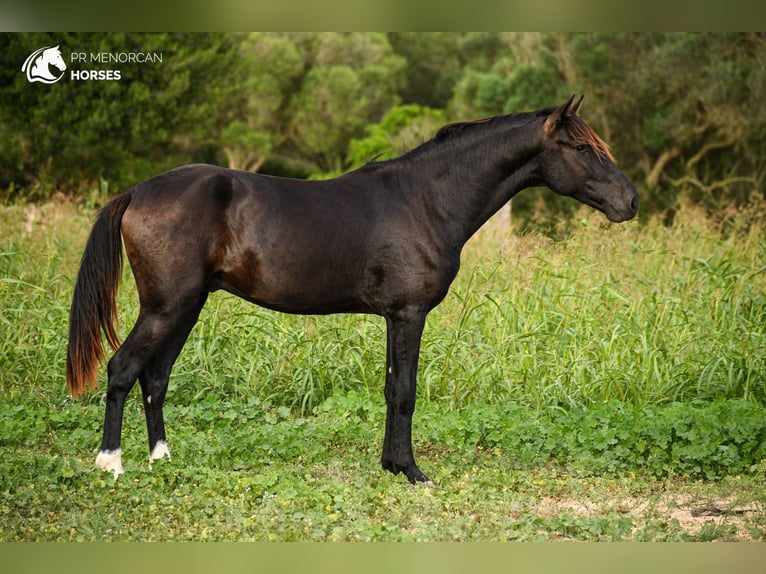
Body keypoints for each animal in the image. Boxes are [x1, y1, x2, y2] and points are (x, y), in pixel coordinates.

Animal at [67, 95, 640, 486]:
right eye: (581, 147)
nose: (630, 201)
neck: (427, 199)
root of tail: (138, 191)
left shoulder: (394, 316)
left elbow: (390, 389)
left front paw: (390, 465)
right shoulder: (409, 313)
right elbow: (405, 391)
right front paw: (412, 471)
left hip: (186, 307)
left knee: (156, 377)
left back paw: (162, 458)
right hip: (166, 308)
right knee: (122, 369)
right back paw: (110, 463)